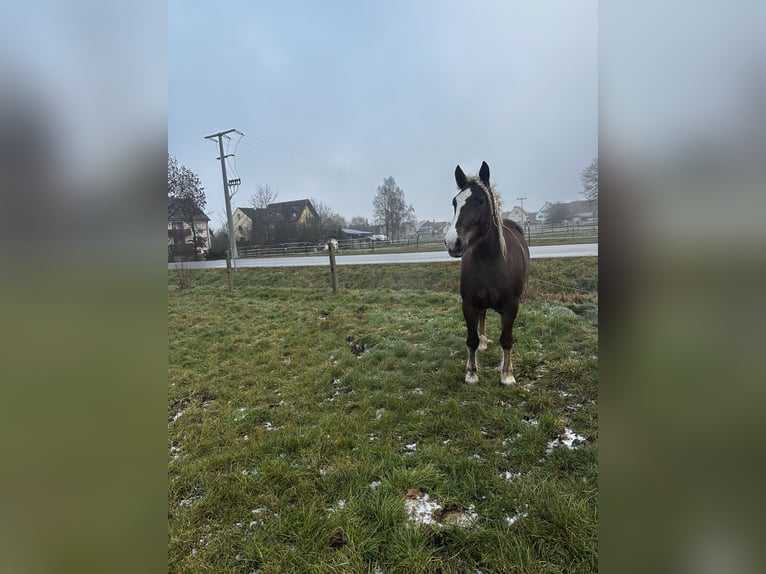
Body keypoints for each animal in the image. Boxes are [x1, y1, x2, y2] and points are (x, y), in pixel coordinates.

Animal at [448, 162, 532, 388]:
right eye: (454, 202)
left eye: (480, 200)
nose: (452, 242)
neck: (490, 261)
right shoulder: (468, 304)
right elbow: (471, 339)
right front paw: (471, 373)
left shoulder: (512, 306)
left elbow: (507, 340)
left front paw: (507, 375)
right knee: (483, 316)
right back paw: (484, 342)